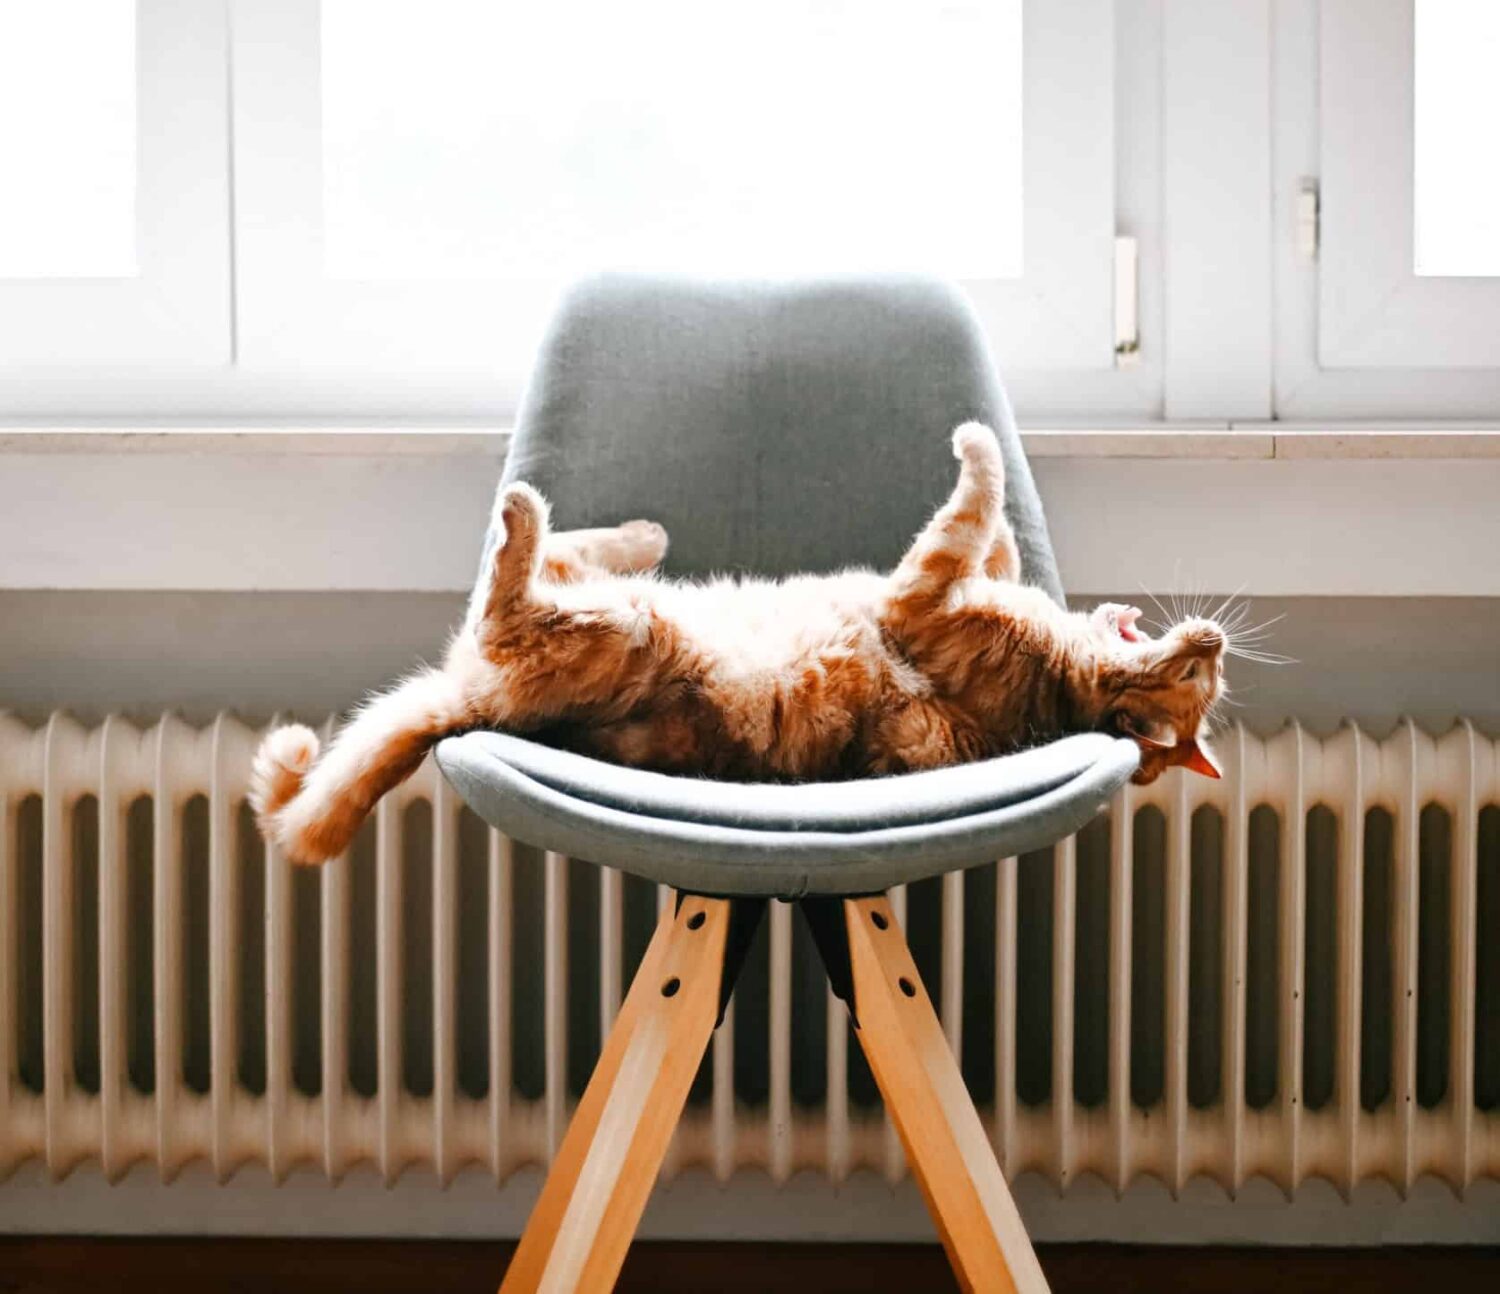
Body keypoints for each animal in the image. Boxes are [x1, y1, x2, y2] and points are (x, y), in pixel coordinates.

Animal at [252, 428, 1224, 869]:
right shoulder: (954, 584)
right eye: (1205, 672)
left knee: (508, 590)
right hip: (613, 603)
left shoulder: (922, 594)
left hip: (623, 628)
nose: (1213, 635)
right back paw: (636, 531)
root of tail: (474, 705)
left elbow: (974, 501)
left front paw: (974, 439)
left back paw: (525, 513)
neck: (1063, 689)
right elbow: (1000, 539)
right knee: (565, 558)